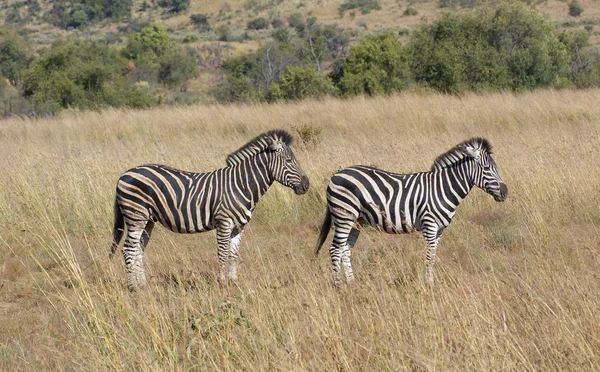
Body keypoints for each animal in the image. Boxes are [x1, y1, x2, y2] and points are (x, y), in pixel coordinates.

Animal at [110, 130, 310, 290]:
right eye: (289, 161)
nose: (306, 185)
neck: (241, 185)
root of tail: (125, 174)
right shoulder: (224, 222)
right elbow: (222, 253)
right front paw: (222, 283)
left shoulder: (239, 226)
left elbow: (233, 254)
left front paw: (233, 282)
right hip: (136, 216)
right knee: (128, 249)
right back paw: (133, 288)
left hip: (148, 220)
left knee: (138, 249)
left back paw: (143, 285)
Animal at [316, 138, 508, 286]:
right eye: (486, 168)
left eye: (495, 167)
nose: (505, 192)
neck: (443, 189)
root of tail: (336, 175)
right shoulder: (430, 225)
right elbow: (429, 257)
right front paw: (429, 285)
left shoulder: (440, 230)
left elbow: (434, 256)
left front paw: (430, 282)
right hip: (344, 215)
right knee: (335, 249)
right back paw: (339, 286)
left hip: (357, 220)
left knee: (345, 249)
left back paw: (352, 283)